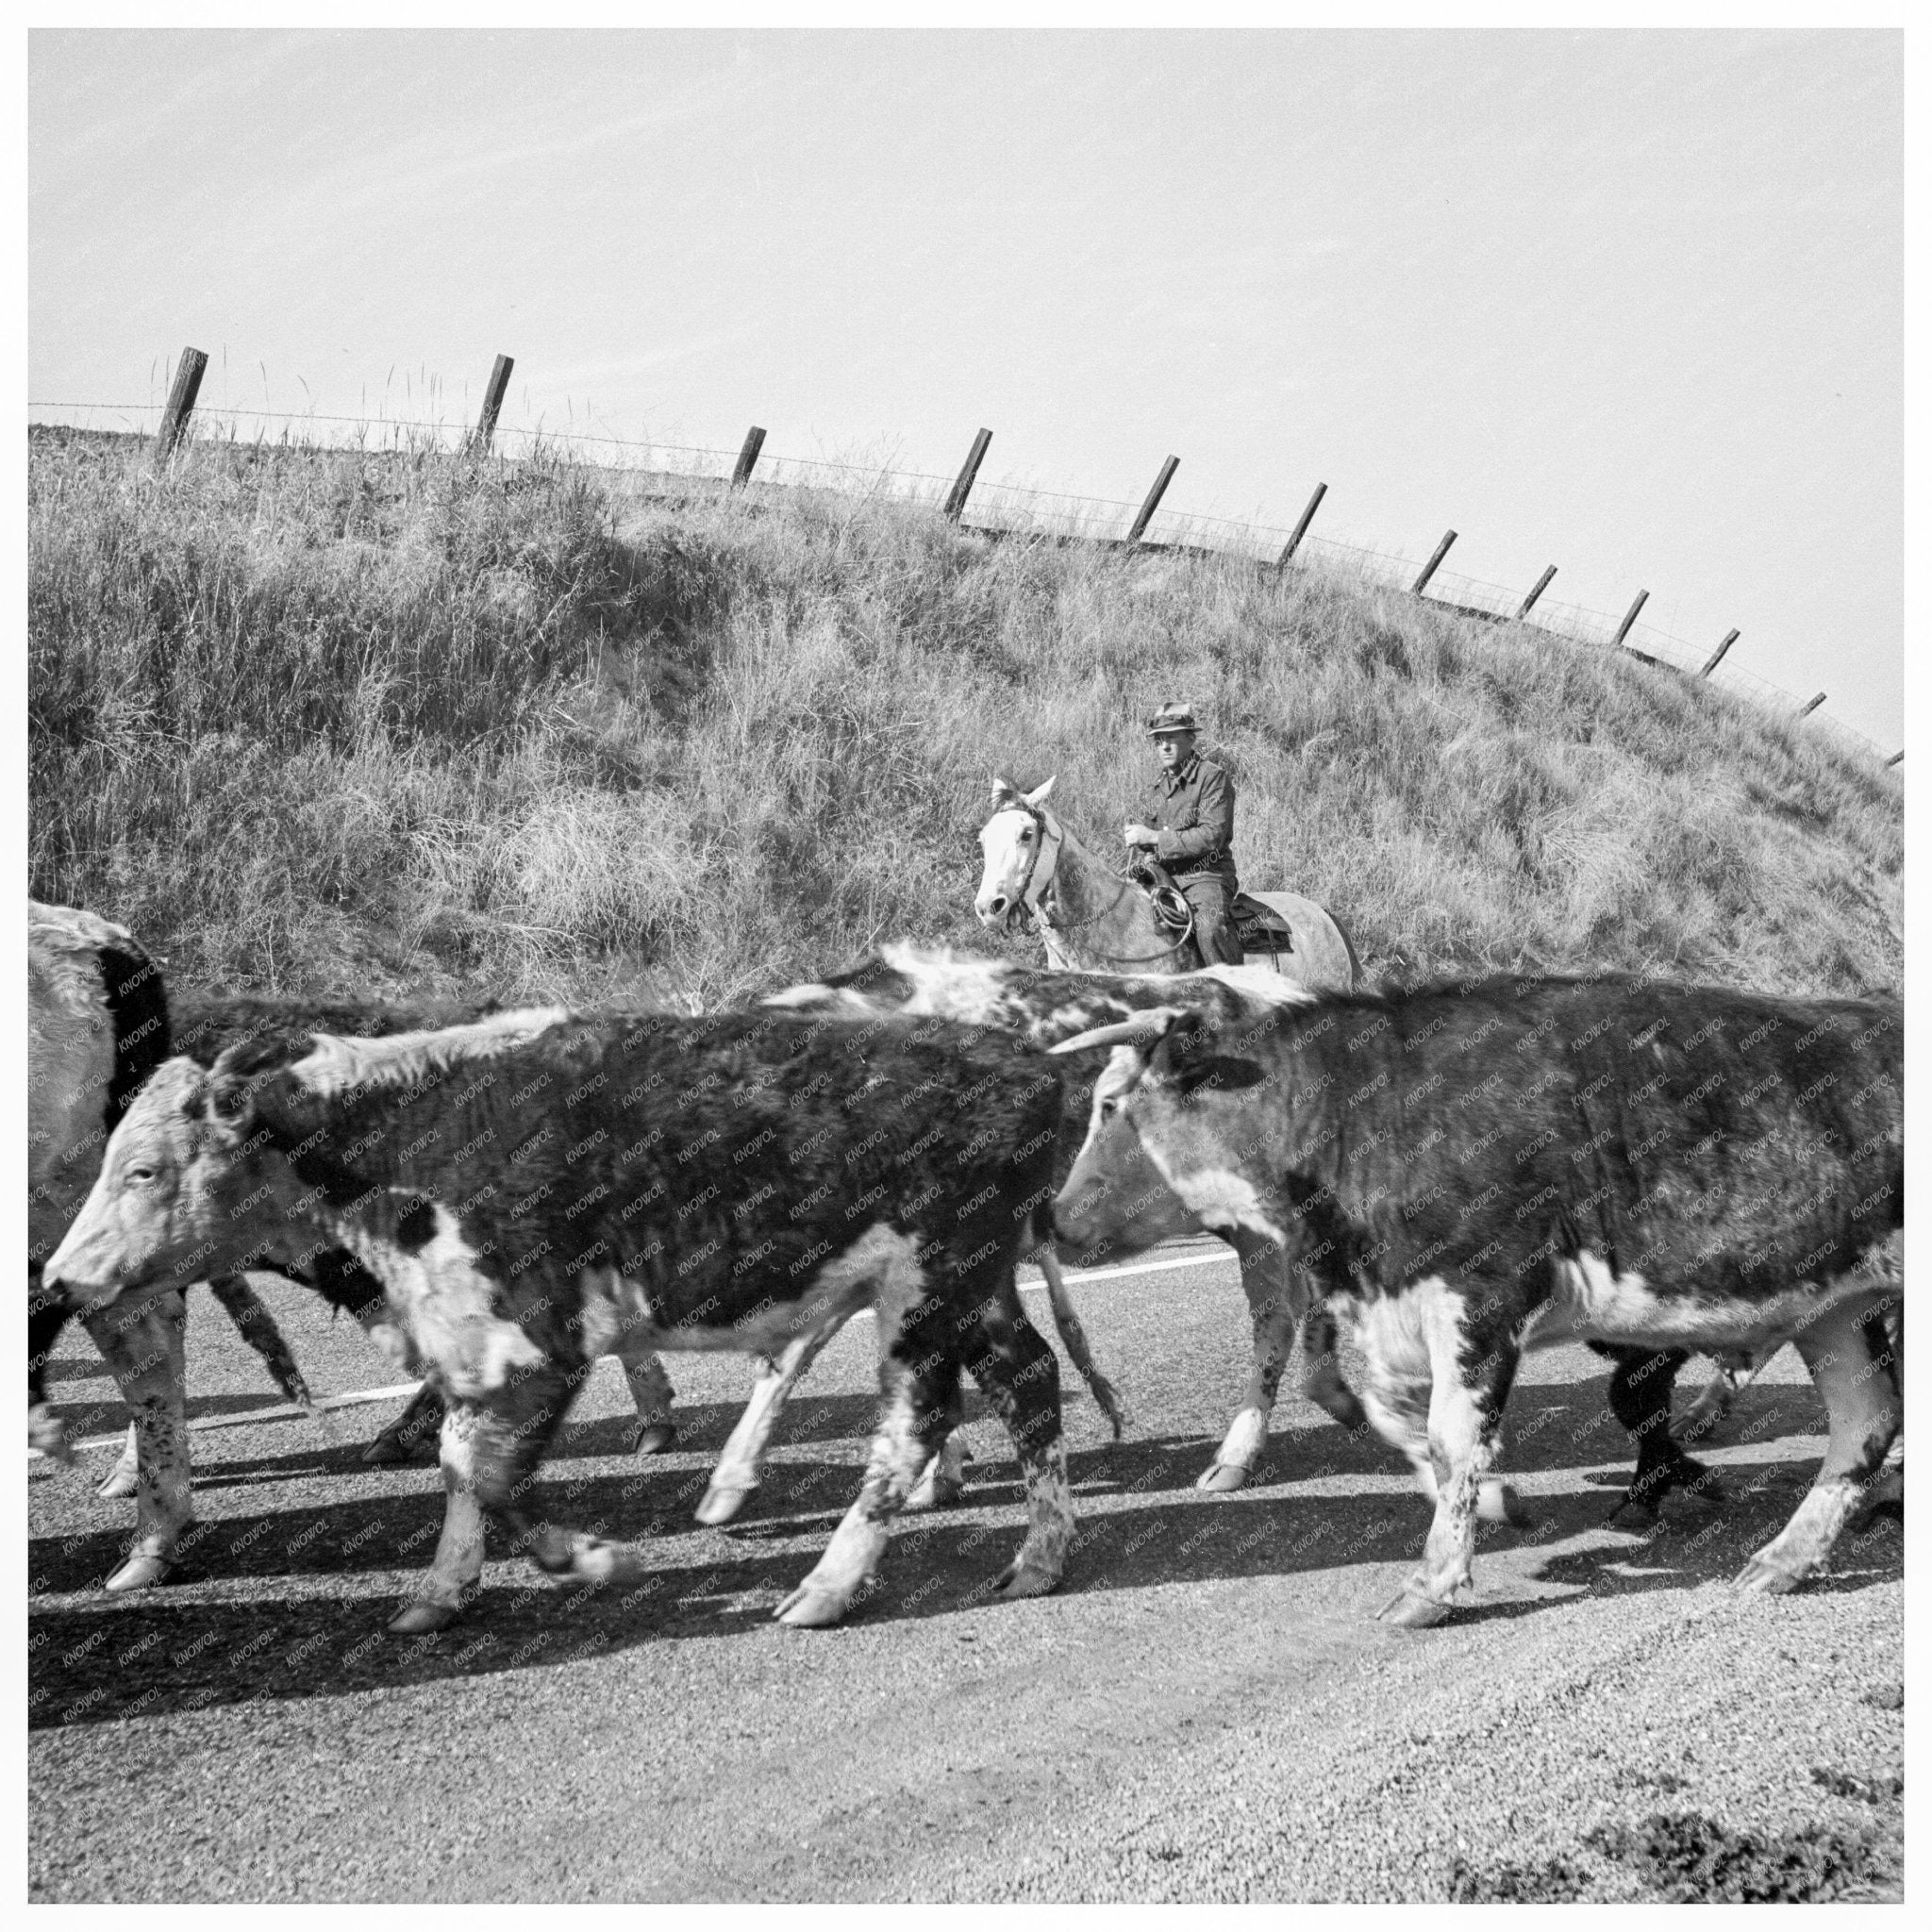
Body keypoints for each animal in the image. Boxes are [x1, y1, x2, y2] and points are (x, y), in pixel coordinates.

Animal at [48, 1012, 1074, 1630]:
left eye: (143, 1168)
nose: (59, 1277)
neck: (409, 1138)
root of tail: (1023, 1061)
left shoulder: (539, 1343)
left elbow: (491, 1472)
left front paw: (593, 1558)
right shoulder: (470, 1349)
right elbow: (461, 1462)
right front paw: (439, 1592)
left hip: (926, 1292)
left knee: (913, 1426)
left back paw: (824, 1587)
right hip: (976, 1292)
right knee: (1028, 1381)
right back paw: (1037, 1558)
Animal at [1051, 974, 1893, 1623]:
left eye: (1110, 1105)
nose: (1054, 1218)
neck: (1361, 1111)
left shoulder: (1483, 1295)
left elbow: (1452, 1438)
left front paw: (1433, 1582)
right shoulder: (1404, 1308)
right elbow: (1395, 1418)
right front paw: (1493, 1502)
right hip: (1836, 1310)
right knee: (1866, 1421)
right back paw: (1785, 1558)